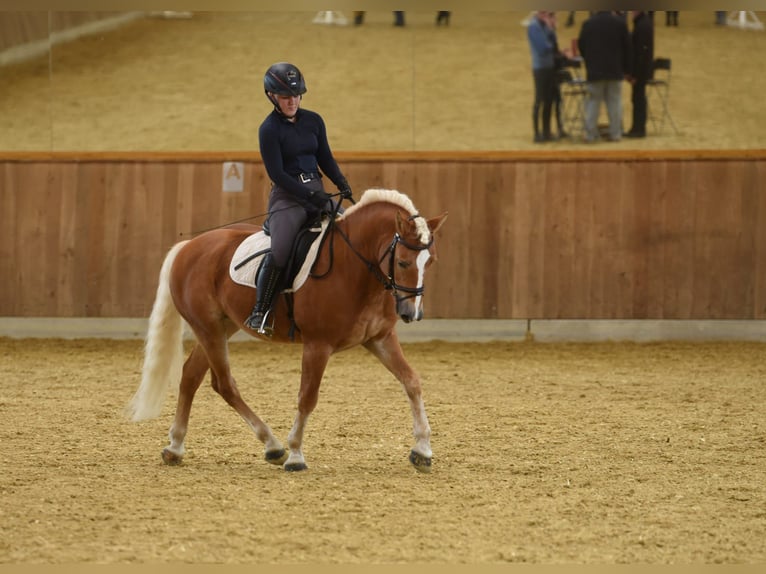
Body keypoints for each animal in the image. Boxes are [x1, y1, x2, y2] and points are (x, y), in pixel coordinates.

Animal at [127, 187, 450, 474]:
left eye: (431, 262)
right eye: (403, 262)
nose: (411, 313)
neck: (354, 268)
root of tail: (189, 246)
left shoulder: (380, 339)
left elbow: (412, 381)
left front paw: (422, 450)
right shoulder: (318, 345)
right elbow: (307, 397)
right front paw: (296, 454)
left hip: (222, 327)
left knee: (192, 376)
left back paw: (175, 446)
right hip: (208, 328)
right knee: (224, 384)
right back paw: (273, 446)